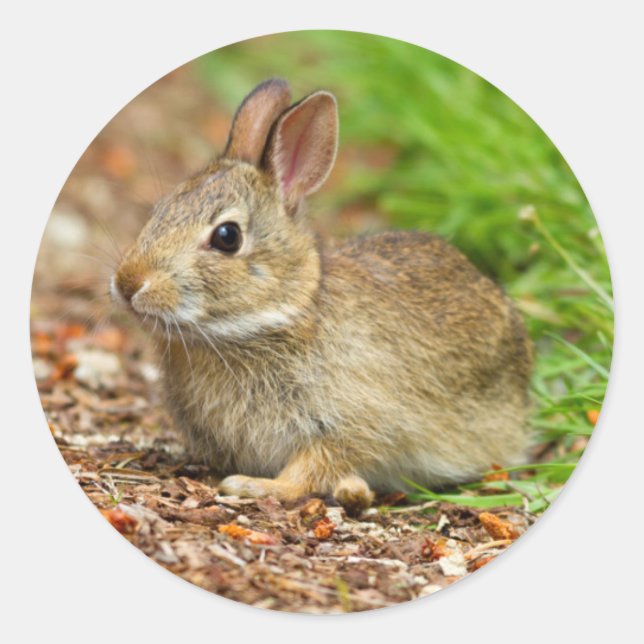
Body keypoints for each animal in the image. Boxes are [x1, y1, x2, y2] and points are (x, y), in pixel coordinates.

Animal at [112, 78, 533, 513]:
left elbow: (312, 466)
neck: (278, 315)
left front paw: (253, 486)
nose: (128, 283)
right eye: (161, 210)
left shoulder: (354, 424)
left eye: (227, 237)